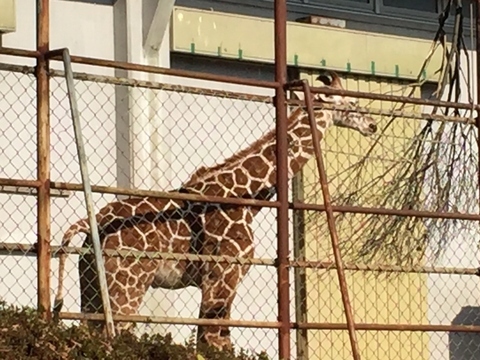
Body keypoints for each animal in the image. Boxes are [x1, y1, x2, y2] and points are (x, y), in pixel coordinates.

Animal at [51, 70, 376, 348]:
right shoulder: (223, 276)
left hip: (91, 287)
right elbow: (216, 342)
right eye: (352, 103)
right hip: (126, 287)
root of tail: (91, 223)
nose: (371, 125)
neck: (243, 196)